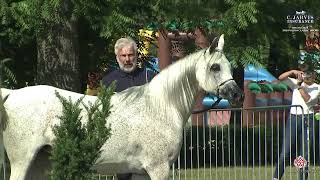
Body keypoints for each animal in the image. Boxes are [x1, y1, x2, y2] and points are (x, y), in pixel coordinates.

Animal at [0, 34, 244, 179]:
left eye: (228, 65)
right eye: (215, 67)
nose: (237, 95)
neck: (160, 107)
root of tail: (12, 95)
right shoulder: (158, 168)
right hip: (23, 162)